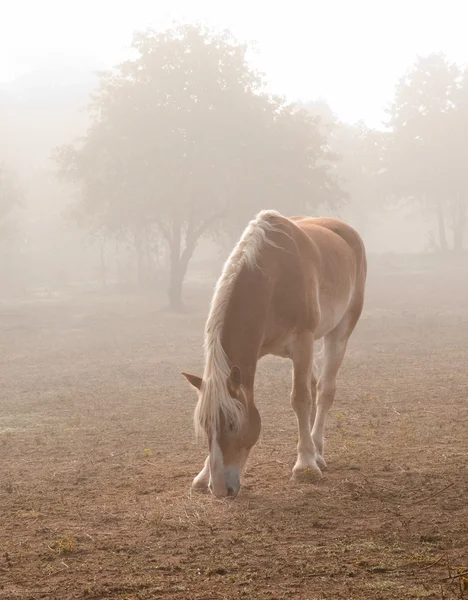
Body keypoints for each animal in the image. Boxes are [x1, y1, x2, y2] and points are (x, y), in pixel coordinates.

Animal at [181, 209, 368, 500]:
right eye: (204, 425)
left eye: (233, 424)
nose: (221, 489)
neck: (272, 276)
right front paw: (202, 475)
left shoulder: (303, 341)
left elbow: (300, 399)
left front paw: (305, 465)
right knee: (314, 383)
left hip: (339, 331)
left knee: (324, 390)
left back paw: (316, 450)